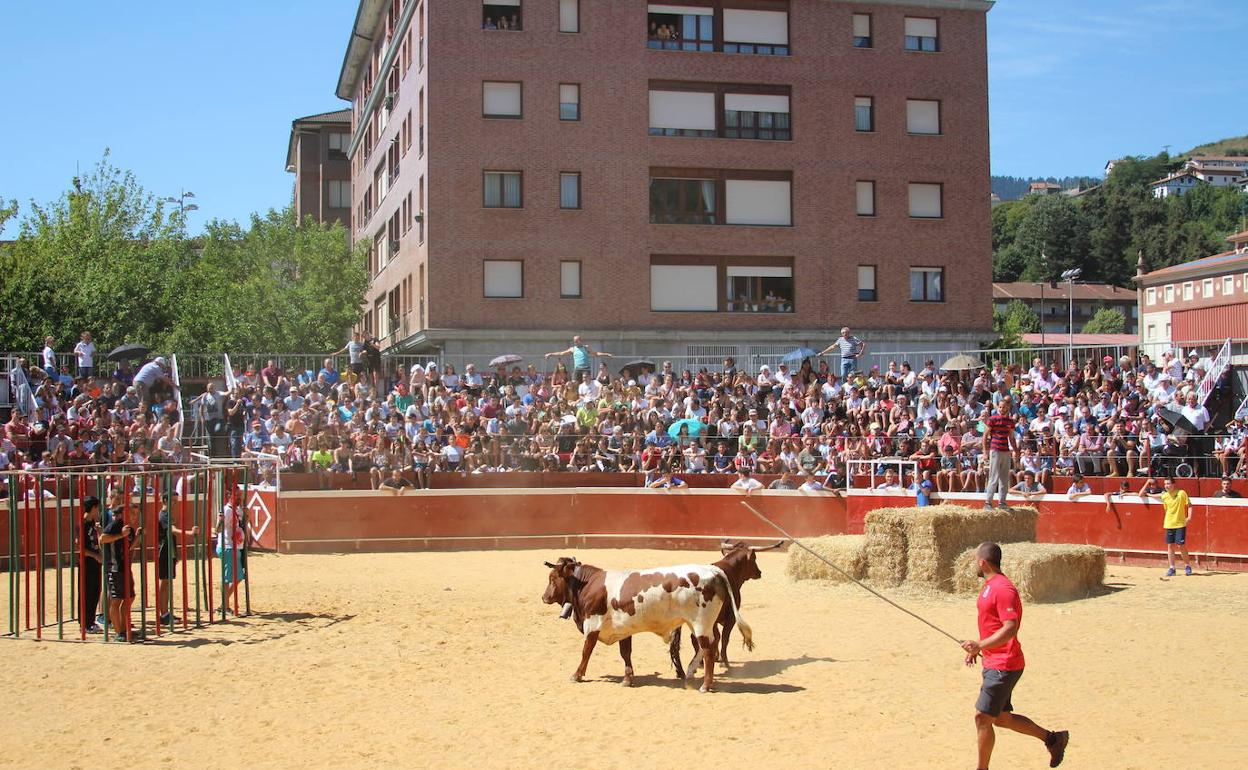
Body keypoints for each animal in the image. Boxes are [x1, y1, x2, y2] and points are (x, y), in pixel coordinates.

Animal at [544, 551, 753, 688]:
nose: (544, 597)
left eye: (552, 578)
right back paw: (690, 672)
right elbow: (625, 653)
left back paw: (706, 685)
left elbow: (586, 652)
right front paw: (627, 679)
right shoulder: (623, 629)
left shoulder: (592, 625)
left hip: (702, 624)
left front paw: (577, 674)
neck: (589, 584)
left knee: (709, 650)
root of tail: (713, 571)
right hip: (698, 625)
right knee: (706, 646)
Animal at [673, 536, 778, 673]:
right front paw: (724, 662)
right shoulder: (730, 617)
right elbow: (724, 638)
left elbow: (717, 637)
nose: (759, 572)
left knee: (696, 638)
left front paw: (716, 657)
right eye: (754, 558)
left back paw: (699, 663)